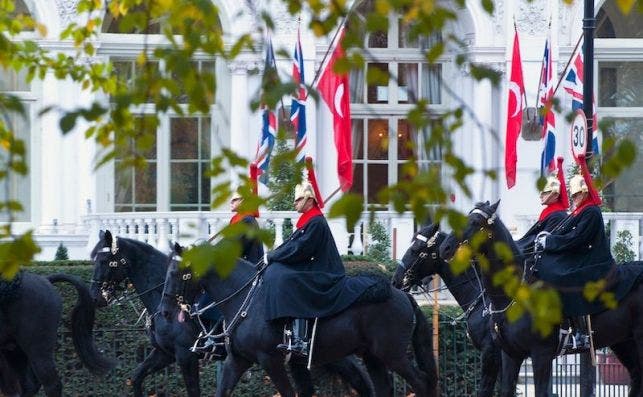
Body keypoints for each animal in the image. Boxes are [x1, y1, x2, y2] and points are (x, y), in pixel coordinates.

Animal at [88, 229, 374, 396]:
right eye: (93, 259)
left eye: (104, 260)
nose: (95, 297)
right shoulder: (165, 354)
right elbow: (136, 378)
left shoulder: (185, 356)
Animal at [164, 241, 440, 396]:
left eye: (179, 272)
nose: (165, 311)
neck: (246, 298)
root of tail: (403, 295)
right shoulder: (239, 360)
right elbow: (223, 390)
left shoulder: (271, 361)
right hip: (372, 356)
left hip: (392, 354)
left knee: (421, 382)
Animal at [438, 201, 643, 396]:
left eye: (475, 222)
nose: (444, 248)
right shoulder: (510, 354)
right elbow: (505, 390)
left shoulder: (540, 354)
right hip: (622, 341)